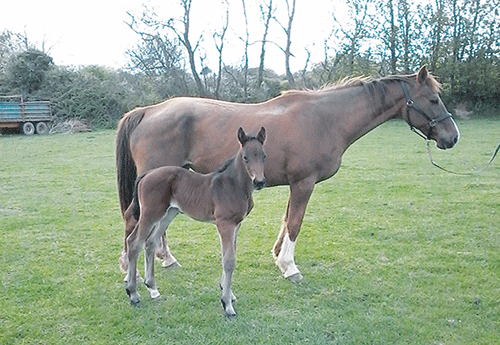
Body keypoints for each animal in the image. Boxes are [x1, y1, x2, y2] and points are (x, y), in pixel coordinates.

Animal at [115, 66, 458, 282]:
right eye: (433, 99)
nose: (452, 137)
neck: (326, 118)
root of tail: (147, 110)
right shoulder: (304, 183)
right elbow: (295, 222)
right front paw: (289, 266)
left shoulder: (296, 183)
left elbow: (286, 220)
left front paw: (278, 255)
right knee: (134, 220)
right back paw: (130, 266)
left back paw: (165, 258)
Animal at [125, 126, 266, 314]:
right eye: (245, 157)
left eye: (263, 156)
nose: (259, 182)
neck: (232, 185)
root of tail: (147, 174)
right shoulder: (225, 224)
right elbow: (229, 260)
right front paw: (227, 305)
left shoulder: (237, 224)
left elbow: (230, 256)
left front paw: (227, 293)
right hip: (150, 214)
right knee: (134, 243)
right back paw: (133, 295)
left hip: (168, 214)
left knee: (150, 242)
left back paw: (153, 289)